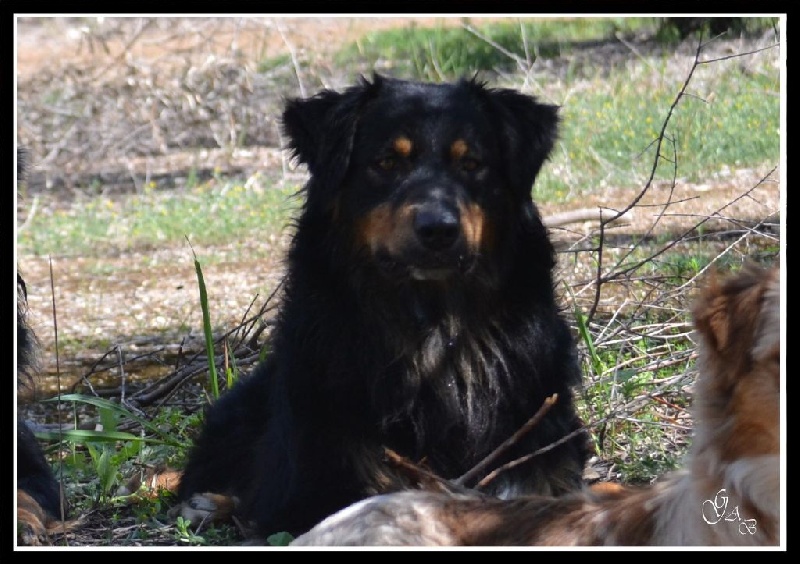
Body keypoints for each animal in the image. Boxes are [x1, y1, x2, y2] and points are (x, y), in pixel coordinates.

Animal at [178, 75, 592, 536]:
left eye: (471, 164)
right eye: (387, 162)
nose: (438, 230)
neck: (434, 325)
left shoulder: (539, 447)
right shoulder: (322, 476)